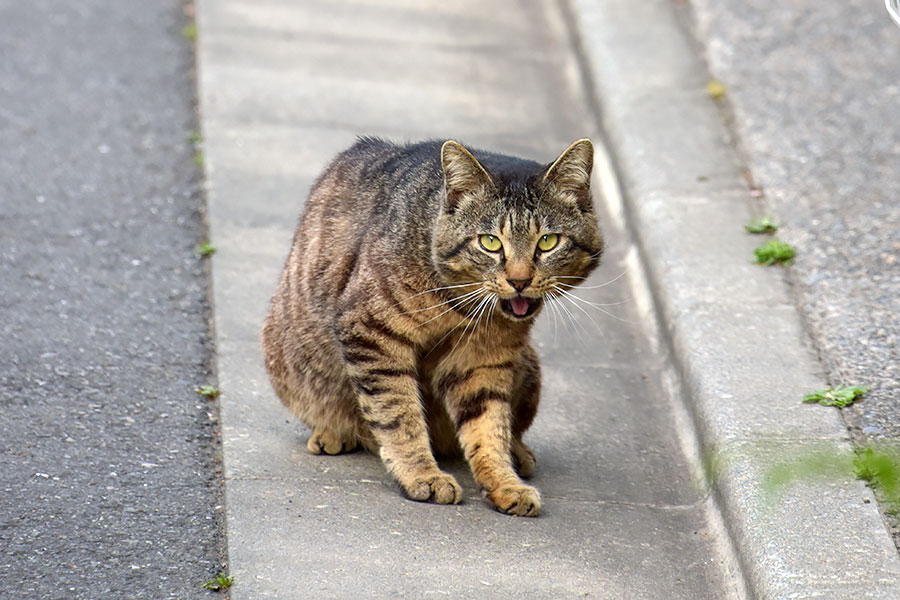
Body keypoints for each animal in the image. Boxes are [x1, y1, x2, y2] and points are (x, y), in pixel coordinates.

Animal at [262, 136, 604, 516]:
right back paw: (334, 433)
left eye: (548, 242)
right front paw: (422, 475)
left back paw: (517, 453)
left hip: (528, 367)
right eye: (489, 242)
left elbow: (489, 427)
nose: (519, 281)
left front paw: (504, 482)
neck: (463, 307)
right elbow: (399, 414)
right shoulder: (372, 334)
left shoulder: (482, 360)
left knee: (509, 427)